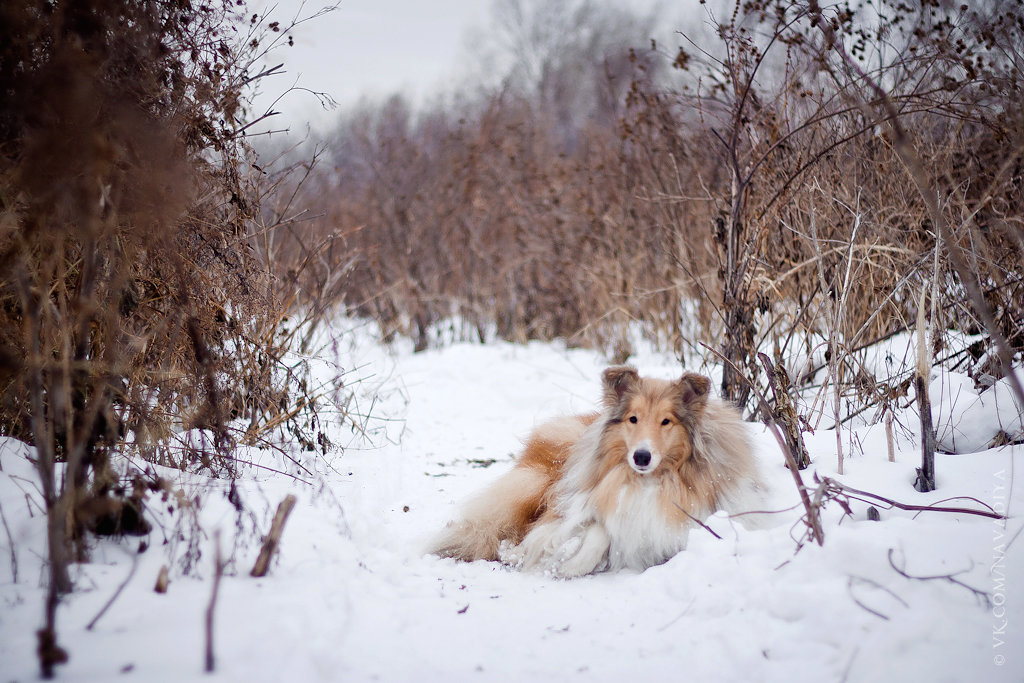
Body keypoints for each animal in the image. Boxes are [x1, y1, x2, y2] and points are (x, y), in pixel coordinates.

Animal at [428, 362, 765, 577]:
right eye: (632, 419)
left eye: (666, 421)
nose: (641, 457)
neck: (649, 482)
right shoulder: (580, 501)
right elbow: (595, 528)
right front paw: (563, 562)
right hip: (537, 481)